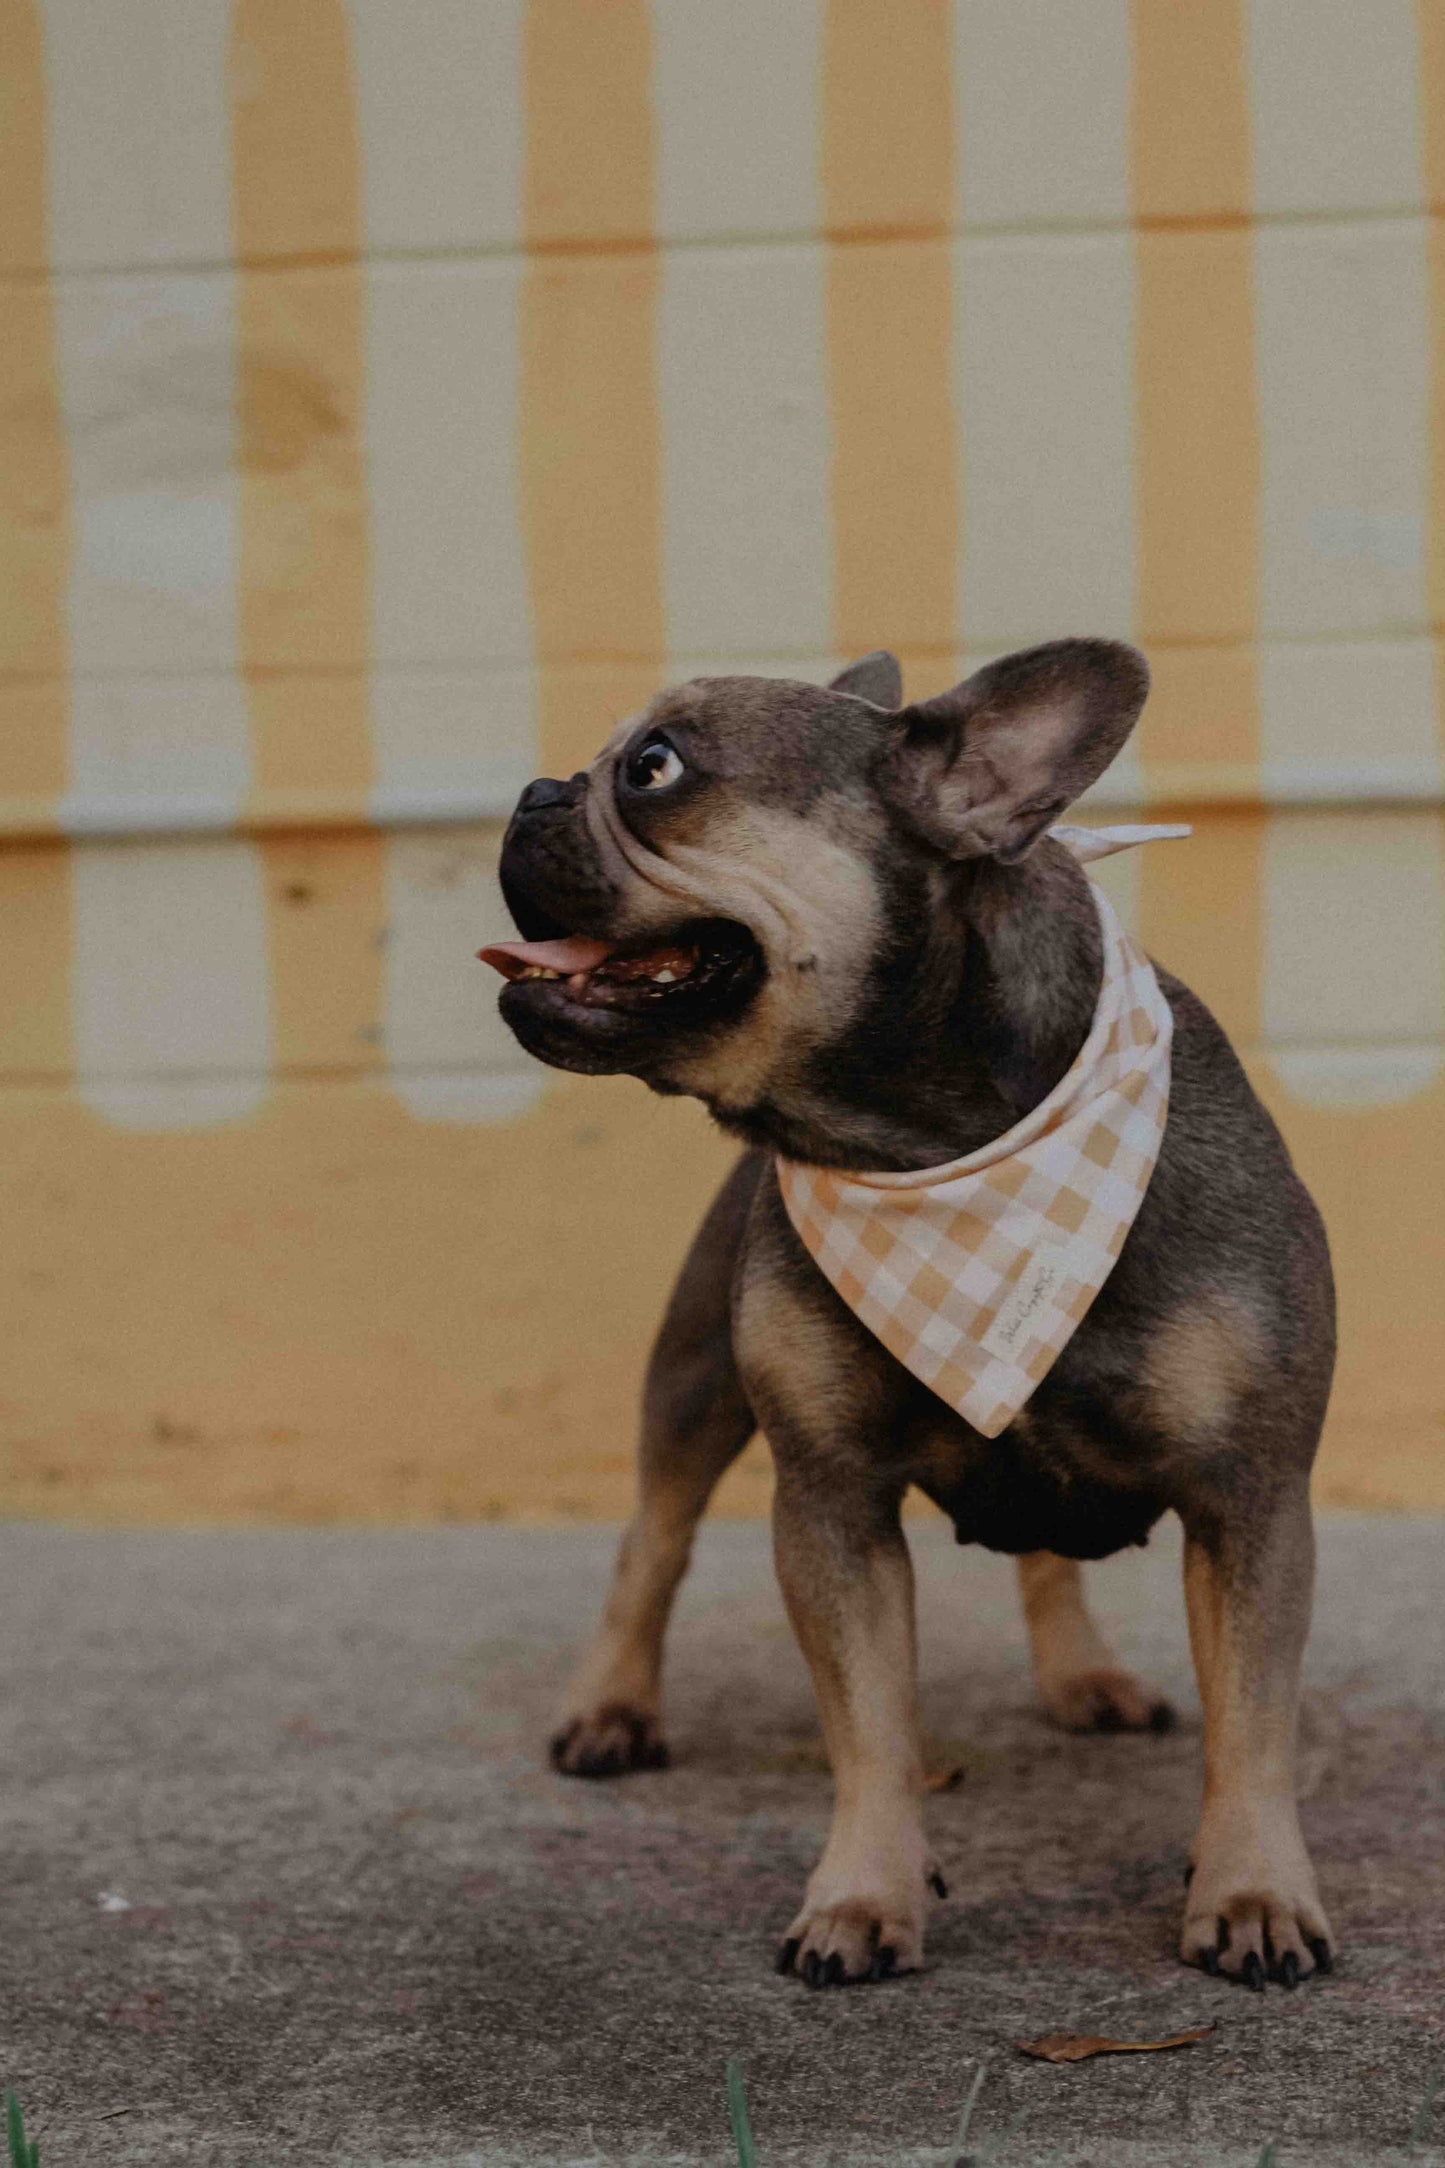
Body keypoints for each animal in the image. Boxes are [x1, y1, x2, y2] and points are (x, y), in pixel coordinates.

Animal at [483, 637, 1334, 1994]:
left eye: (655, 767)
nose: (530, 792)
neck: (937, 1144)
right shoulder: (831, 1500)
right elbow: (870, 1722)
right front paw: (861, 1893)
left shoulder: (1246, 1498)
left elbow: (1249, 1719)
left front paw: (1250, 1889)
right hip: (693, 1381)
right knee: (651, 1542)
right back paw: (610, 1707)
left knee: (1046, 1556)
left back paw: (1081, 1675)